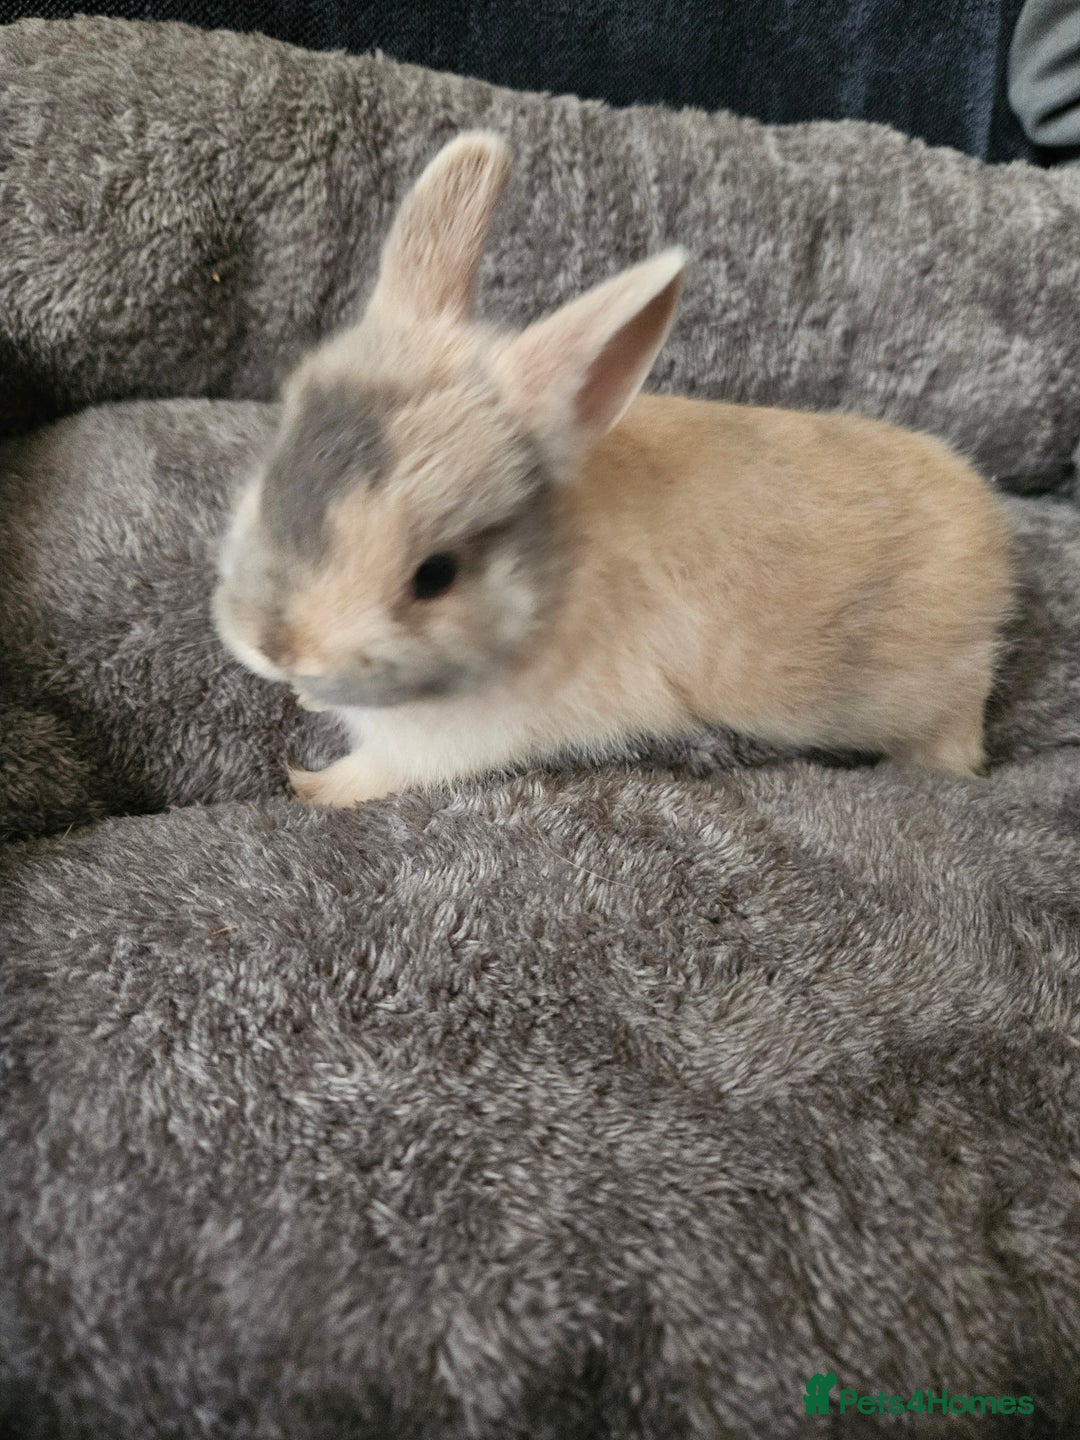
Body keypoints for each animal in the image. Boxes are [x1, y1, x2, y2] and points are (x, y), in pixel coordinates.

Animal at [213, 131, 1013, 808]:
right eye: (271, 477)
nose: (275, 646)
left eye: (435, 576)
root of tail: (990, 524)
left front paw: (309, 787)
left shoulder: (455, 742)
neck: (554, 575)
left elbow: (381, 771)